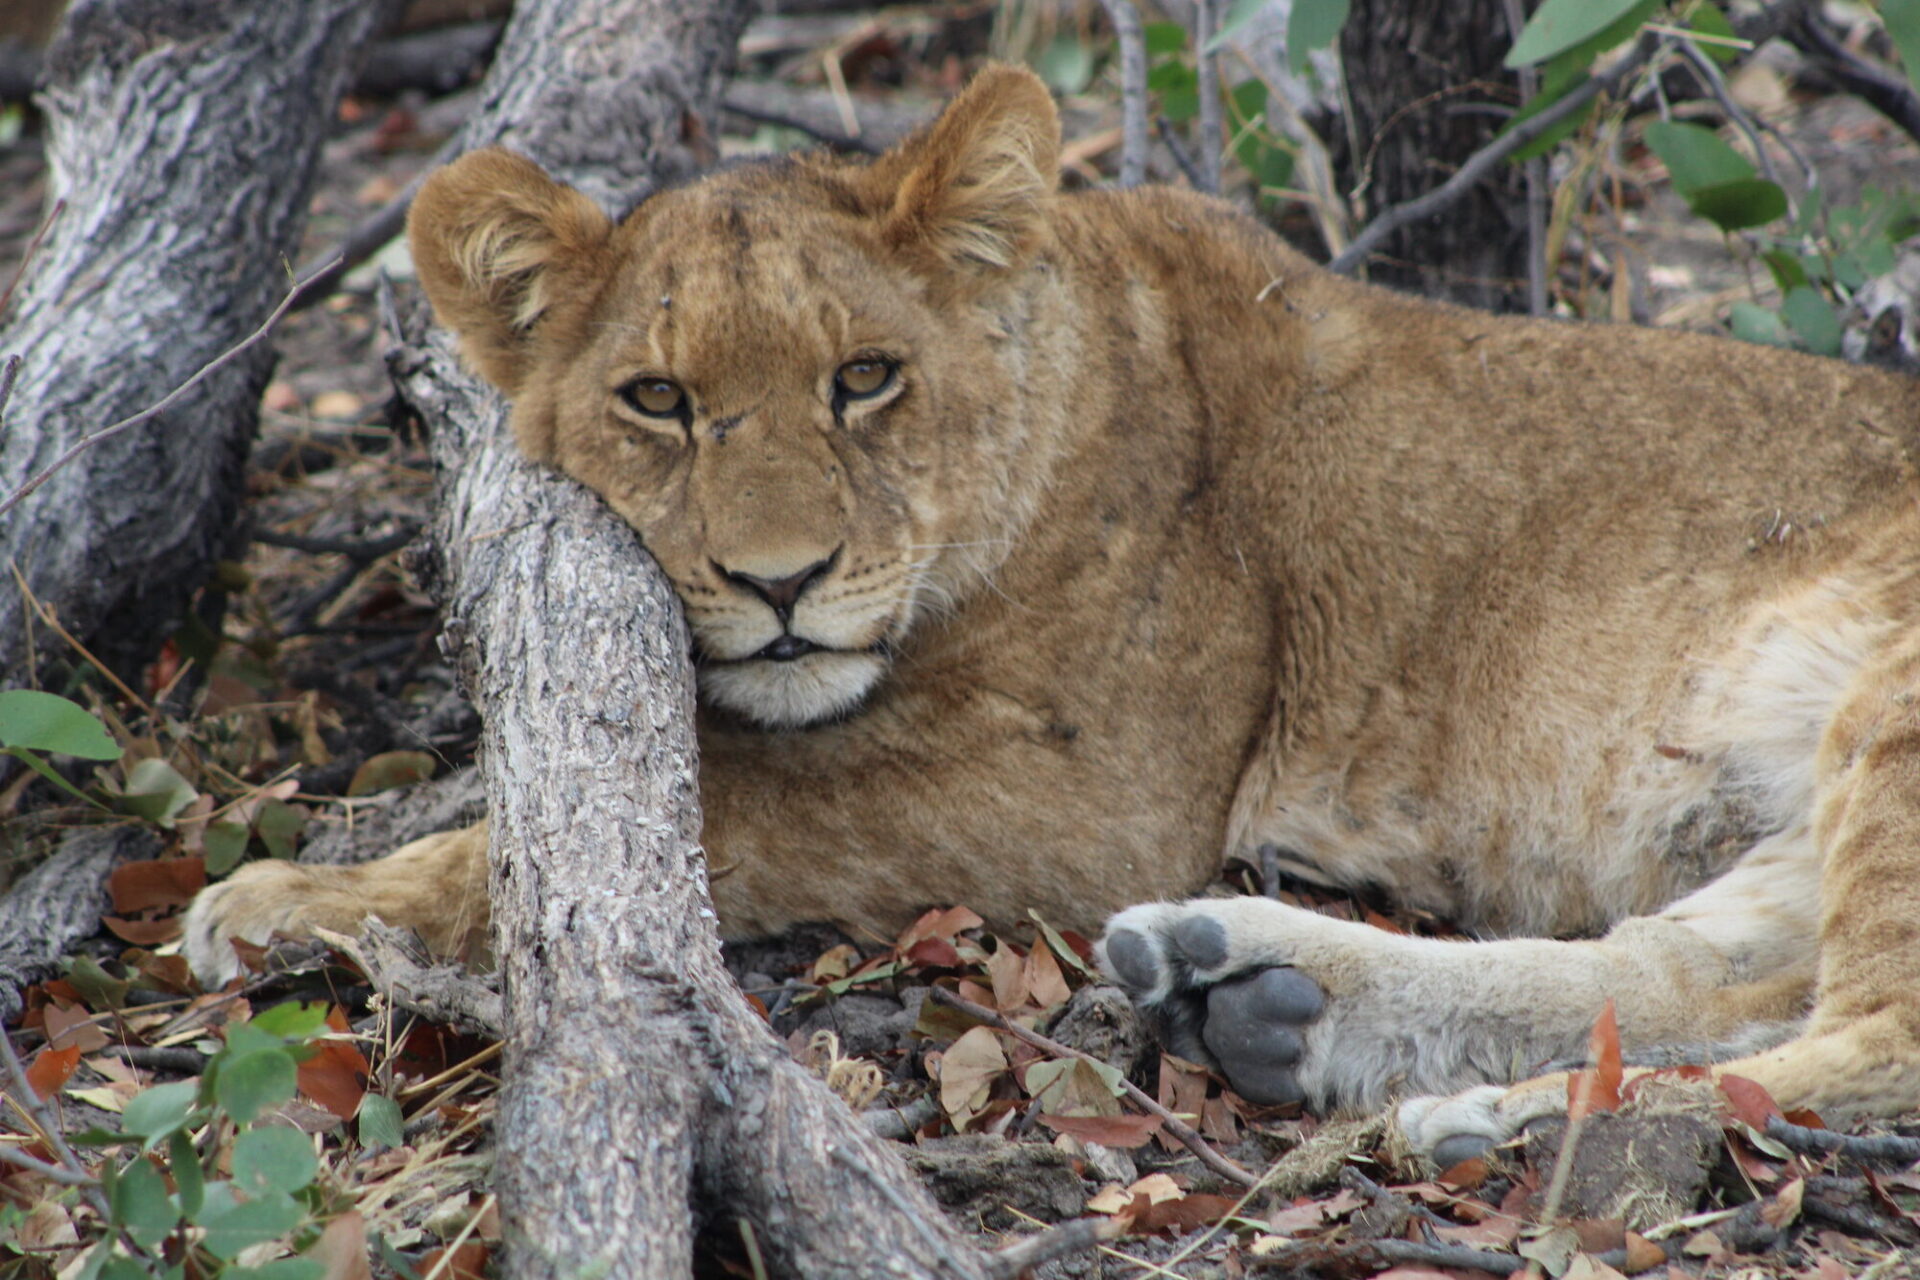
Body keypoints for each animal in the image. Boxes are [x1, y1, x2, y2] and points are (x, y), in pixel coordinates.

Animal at [183, 65, 1920, 1159]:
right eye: (657, 400)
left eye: (865, 377)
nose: (778, 583)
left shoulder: (1081, 798)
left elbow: (728, 804)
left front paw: (283, 901)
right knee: (1710, 975)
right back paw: (1270, 995)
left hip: (1890, 708)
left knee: (1872, 1041)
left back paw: (1489, 1122)